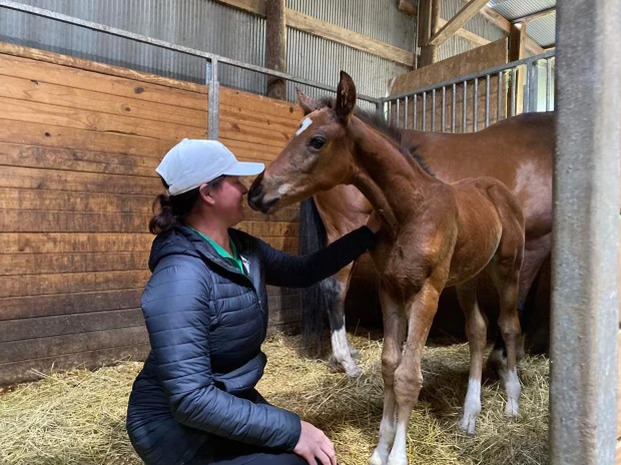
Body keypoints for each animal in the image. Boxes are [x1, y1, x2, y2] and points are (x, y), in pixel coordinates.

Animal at [248, 71, 525, 463]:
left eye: (317, 140)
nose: (257, 192)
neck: (409, 211)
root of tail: (498, 189)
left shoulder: (427, 292)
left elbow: (408, 376)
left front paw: (397, 455)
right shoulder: (390, 289)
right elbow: (389, 365)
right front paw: (381, 448)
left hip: (507, 268)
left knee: (509, 324)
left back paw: (513, 402)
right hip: (467, 277)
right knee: (478, 329)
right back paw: (470, 414)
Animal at [300, 110, 554, 377]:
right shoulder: (534, 242)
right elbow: (519, 302)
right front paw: (501, 358)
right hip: (345, 228)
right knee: (335, 289)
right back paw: (346, 361)